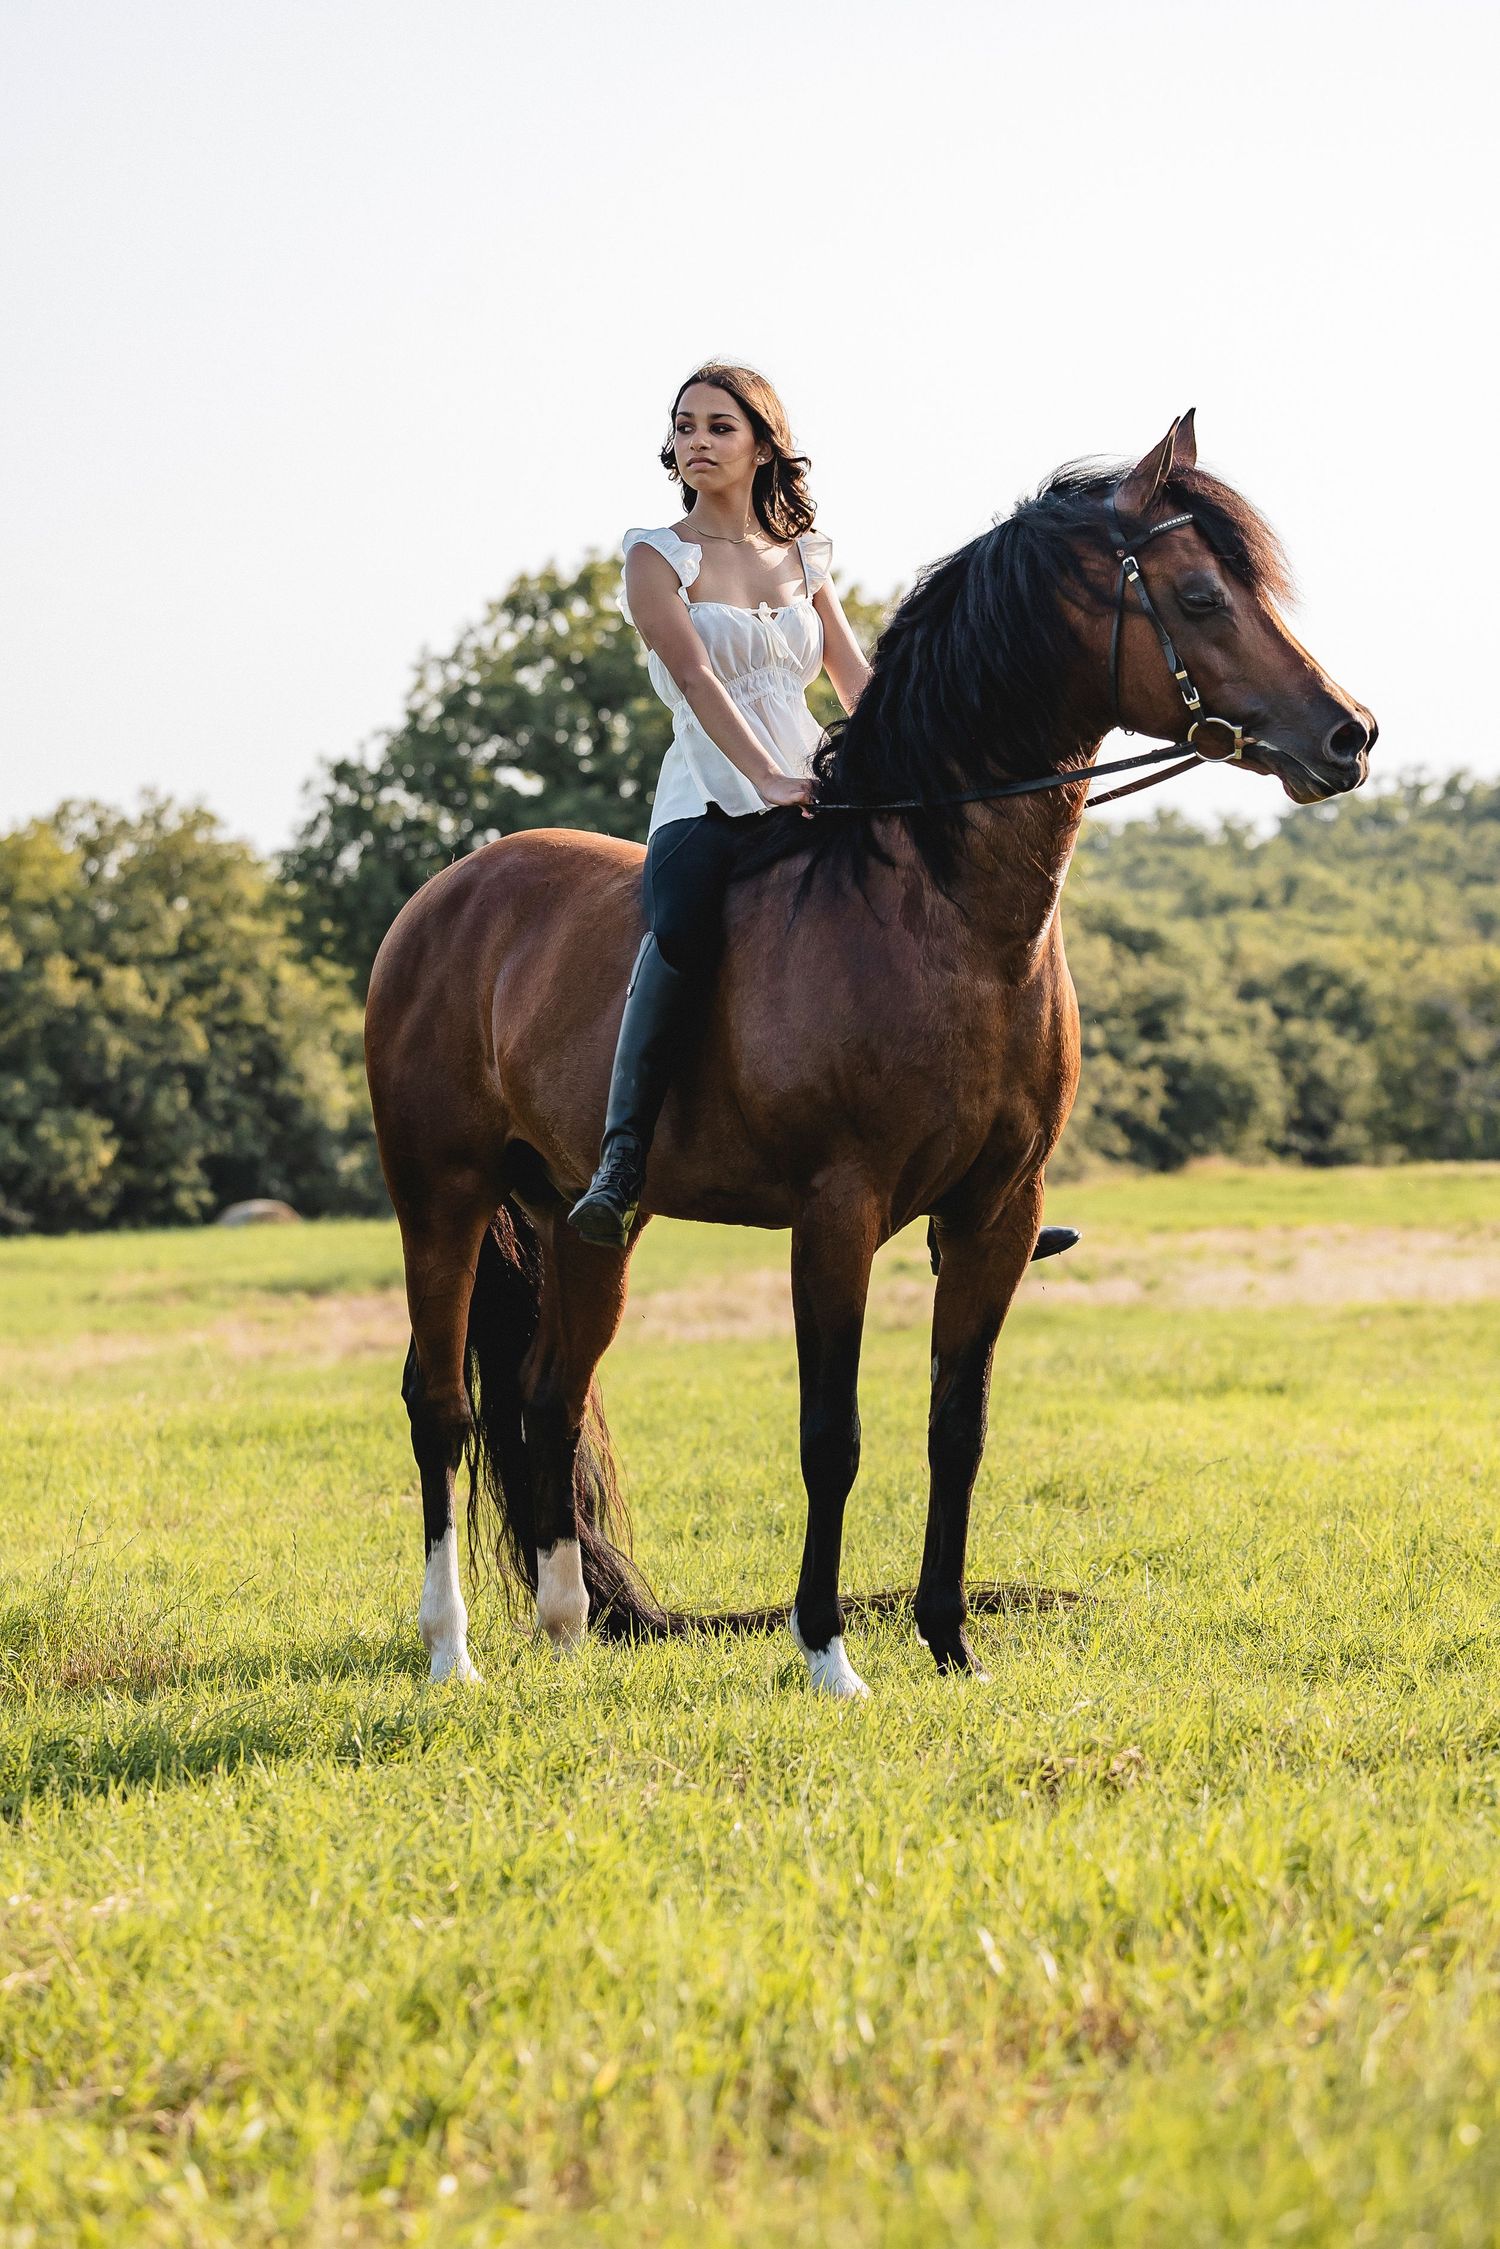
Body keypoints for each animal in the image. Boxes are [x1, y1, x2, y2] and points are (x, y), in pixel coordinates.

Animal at [364, 412, 1375, 1697]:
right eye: (1200, 595)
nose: (1349, 735)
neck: (938, 908)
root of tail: (445, 894)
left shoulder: (996, 1214)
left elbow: (959, 1427)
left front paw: (949, 1640)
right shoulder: (835, 1213)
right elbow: (831, 1436)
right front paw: (830, 1651)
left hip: (588, 1224)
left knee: (550, 1392)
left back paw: (566, 1625)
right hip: (441, 1197)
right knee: (439, 1404)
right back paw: (450, 1650)